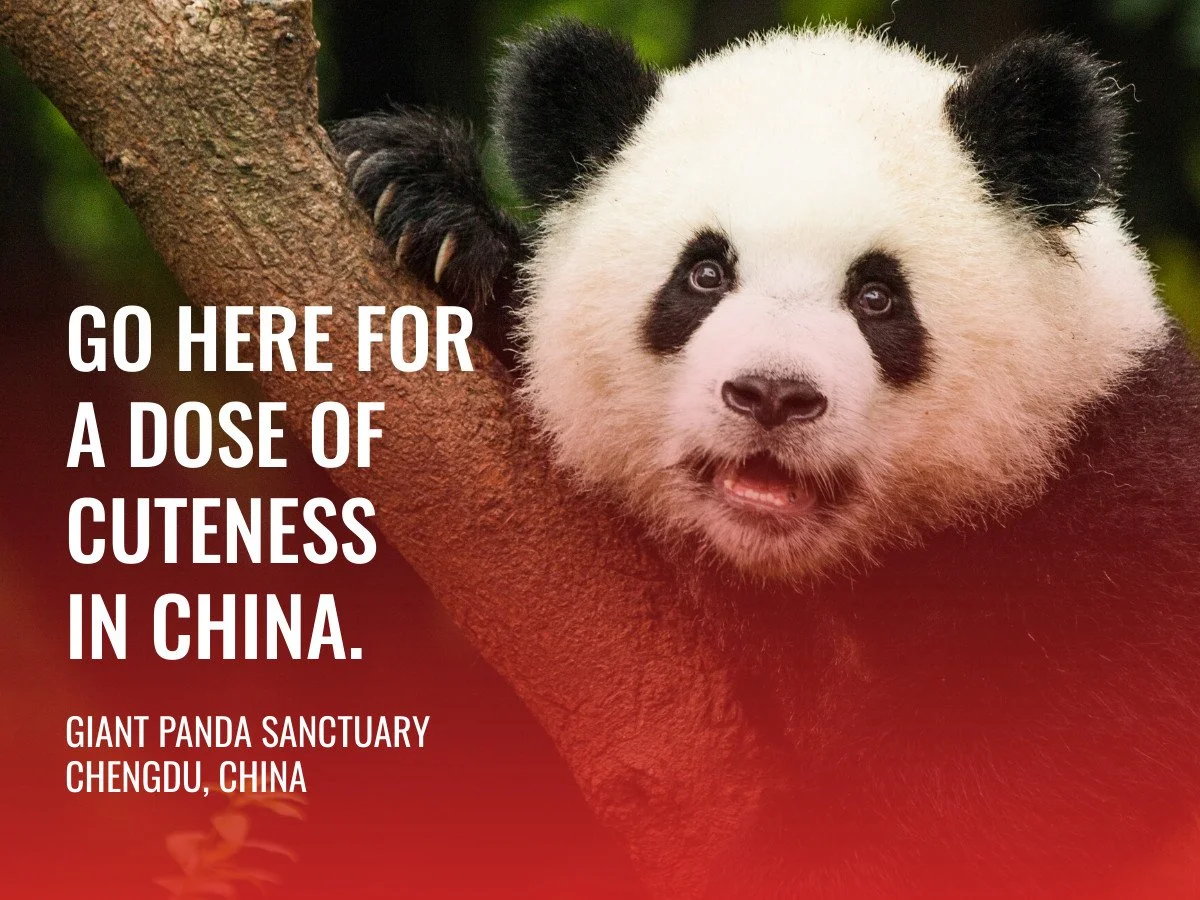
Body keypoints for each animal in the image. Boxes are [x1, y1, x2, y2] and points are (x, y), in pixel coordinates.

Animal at [335, 21, 1200, 899]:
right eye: (704, 273)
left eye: (877, 297)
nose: (774, 394)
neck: (793, 573)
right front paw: (427, 208)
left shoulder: (1119, 490)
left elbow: (1039, 741)